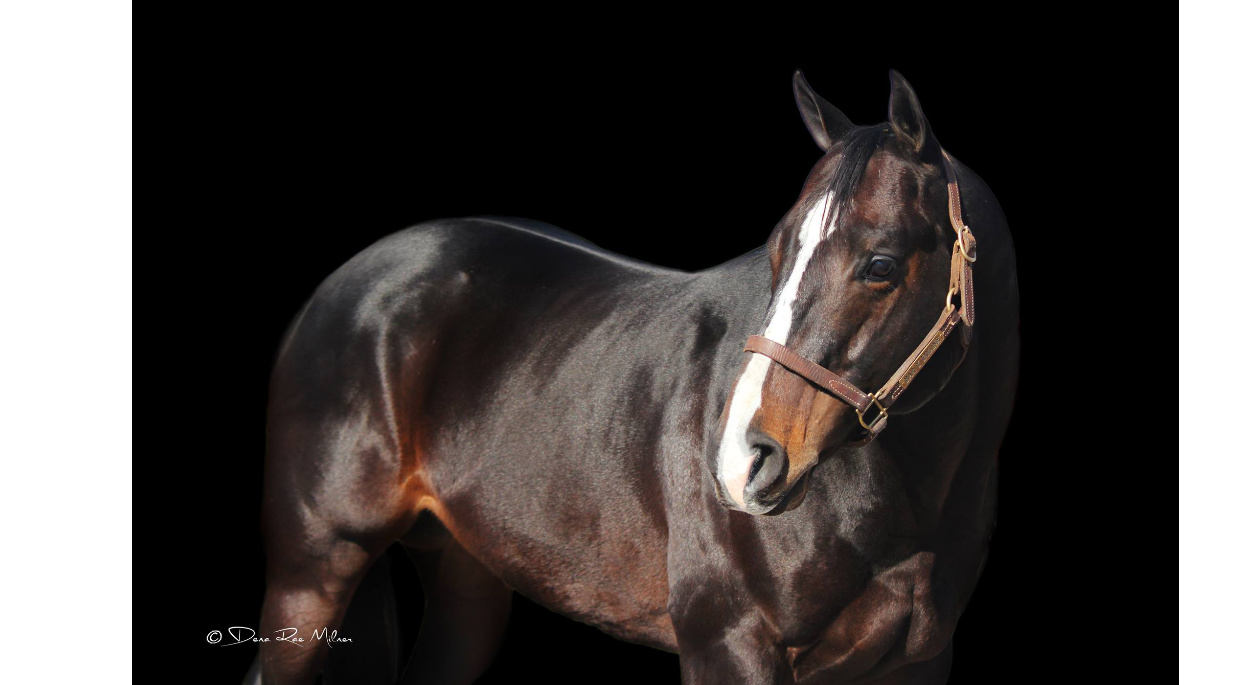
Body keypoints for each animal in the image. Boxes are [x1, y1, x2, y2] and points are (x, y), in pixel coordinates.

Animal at [245, 70, 1019, 685]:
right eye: (776, 251)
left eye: (880, 264)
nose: (740, 461)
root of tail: (347, 283)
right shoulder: (727, 647)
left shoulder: (917, 664)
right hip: (312, 576)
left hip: (464, 579)